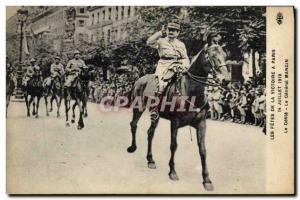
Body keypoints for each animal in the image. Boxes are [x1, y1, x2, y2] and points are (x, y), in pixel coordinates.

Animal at [127, 43, 230, 191]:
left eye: (225, 55)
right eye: (212, 56)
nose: (226, 80)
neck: (191, 91)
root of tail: (140, 79)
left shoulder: (201, 124)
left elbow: (203, 150)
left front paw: (207, 180)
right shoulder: (175, 123)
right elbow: (173, 145)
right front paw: (172, 172)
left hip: (155, 116)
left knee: (150, 133)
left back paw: (150, 160)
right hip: (138, 108)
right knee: (134, 125)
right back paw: (132, 147)